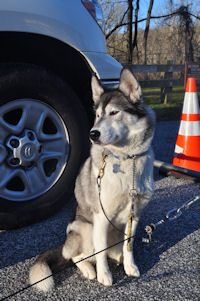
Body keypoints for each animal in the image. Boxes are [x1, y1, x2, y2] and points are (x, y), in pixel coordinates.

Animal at [28, 67, 155, 290]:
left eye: (114, 112)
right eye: (97, 115)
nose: (92, 134)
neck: (126, 159)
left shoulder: (135, 215)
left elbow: (128, 246)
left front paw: (130, 266)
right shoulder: (101, 217)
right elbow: (100, 253)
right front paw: (104, 275)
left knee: (114, 251)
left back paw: (118, 258)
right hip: (84, 227)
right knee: (76, 256)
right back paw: (89, 269)